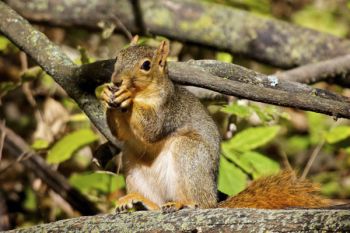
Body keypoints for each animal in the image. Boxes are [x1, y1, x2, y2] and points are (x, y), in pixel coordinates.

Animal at [100, 36, 330, 213]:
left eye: (146, 65)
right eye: (117, 57)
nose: (117, 81)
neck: (144, 93)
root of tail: (213, 199)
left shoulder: (168, 109)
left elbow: (152, 129)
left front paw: (127, 97)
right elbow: (120, 134)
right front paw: (105, 94)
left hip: (189, 153)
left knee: (198, 203)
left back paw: (182, 203)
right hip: (132, 160)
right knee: (156, 206)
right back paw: (137, 199)